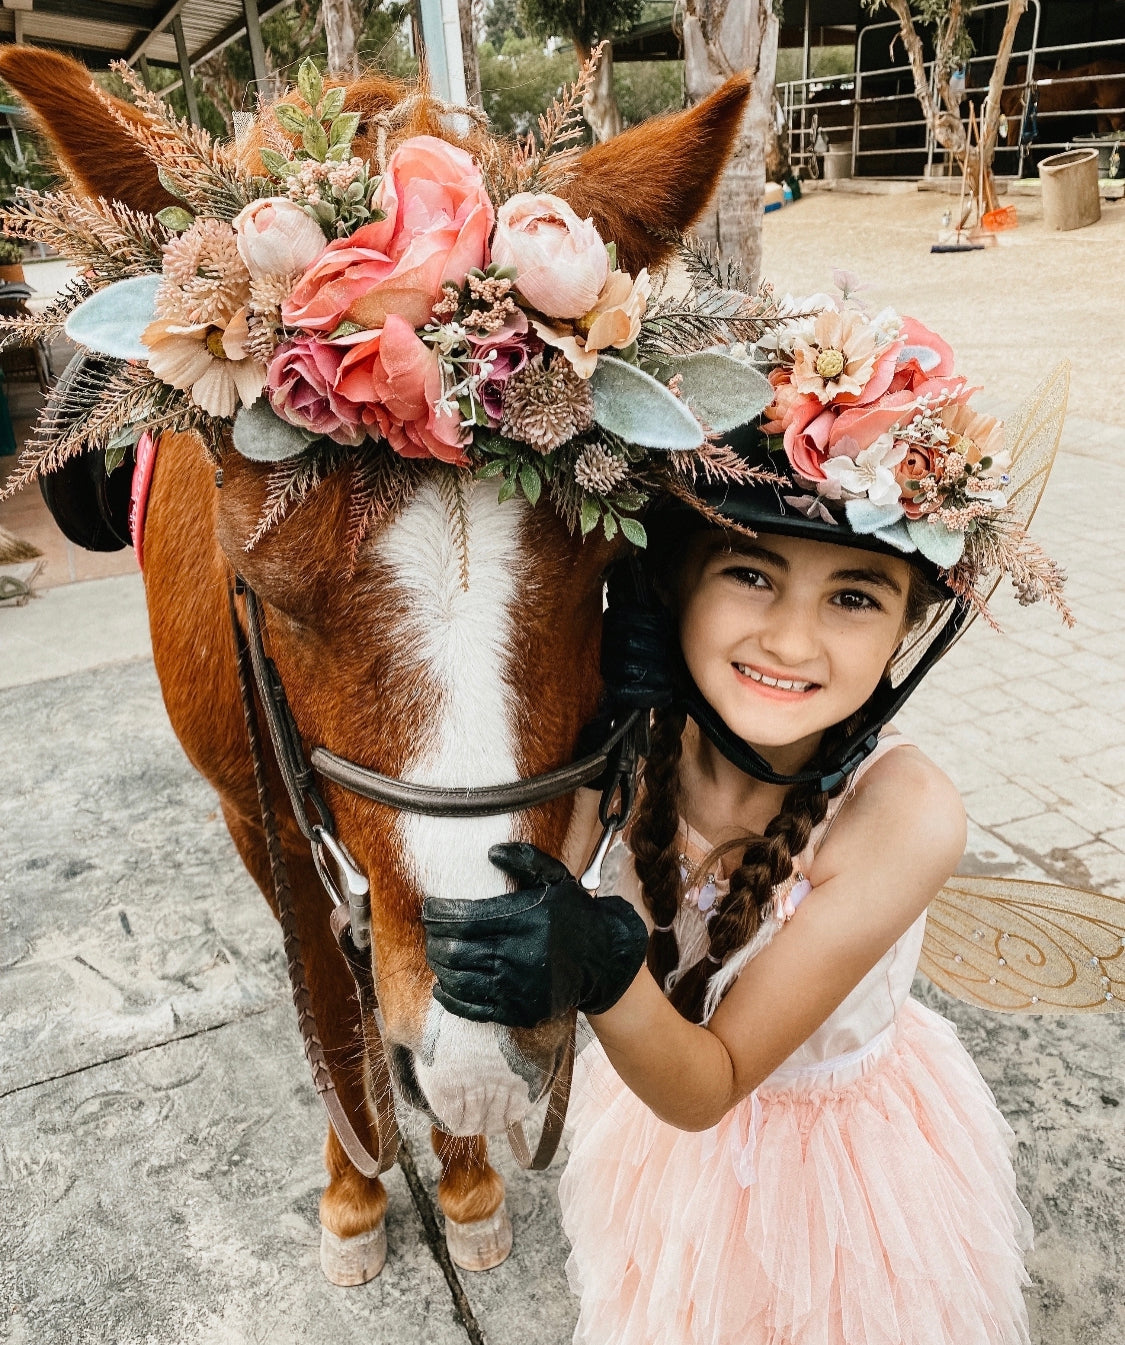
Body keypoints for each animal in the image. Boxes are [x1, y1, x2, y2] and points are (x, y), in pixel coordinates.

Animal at [2, 49, 753, 1280]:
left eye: (611, 560)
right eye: (254, 574)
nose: (479, 1061)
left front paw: (464, 1172)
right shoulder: (256, 812)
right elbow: (322, 972)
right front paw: (355, 1184)